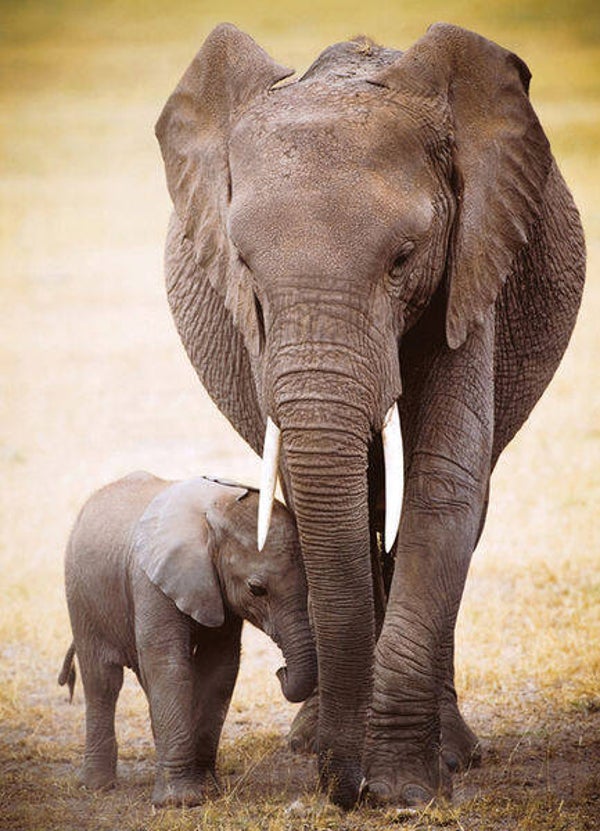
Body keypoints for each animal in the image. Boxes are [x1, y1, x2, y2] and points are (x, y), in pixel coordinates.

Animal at [59, 471, 316, 807]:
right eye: (256, 589)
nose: (281, 671)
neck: (214, 512)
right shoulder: (150, 580)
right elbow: (169, 664)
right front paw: (179, 802)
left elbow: (219, 667)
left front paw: (206, 788)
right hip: (81, 597)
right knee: (102, 680)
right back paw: (97, 785)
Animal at [154, 23, 586, 808]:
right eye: (243, 265)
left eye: (404, 259)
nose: (342, 788)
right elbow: (327, 492)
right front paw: (363, 769)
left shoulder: (473, 261)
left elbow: (444, 482)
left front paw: (405, 790)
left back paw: (453, 753)